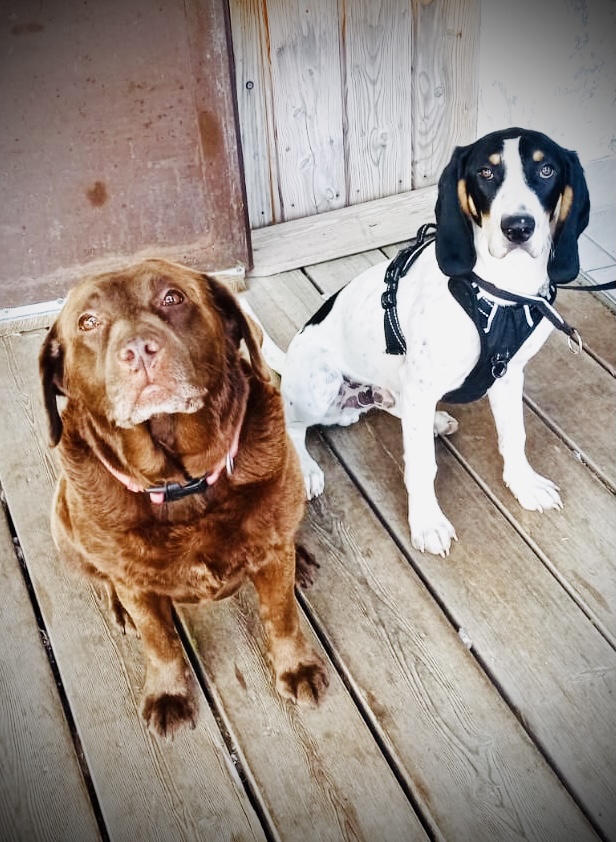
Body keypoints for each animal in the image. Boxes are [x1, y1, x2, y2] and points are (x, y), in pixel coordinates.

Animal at [39, 260, 328, 738]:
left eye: (172, 298)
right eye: (88, 322)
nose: (138, 350)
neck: (183, 484)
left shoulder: (271, 558)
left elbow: (281, 614)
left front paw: (297, 667)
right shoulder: (135, 584)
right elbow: (160, 641)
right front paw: (168, 693)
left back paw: (300, 557)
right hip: (63, 523)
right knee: (104, 578)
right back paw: (119, 609)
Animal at [280, 127, 590, 557]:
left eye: (547, 170)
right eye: (485, 172)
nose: (518, 228)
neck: (502, 289)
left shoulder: (507, 374)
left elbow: (515, 436)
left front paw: (524, 485)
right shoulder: (422, 384)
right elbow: (421, 466)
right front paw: (427, 522)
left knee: (392, 405)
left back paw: (433, 421)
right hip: (319, 386)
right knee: (293, 424)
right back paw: (308, 469)